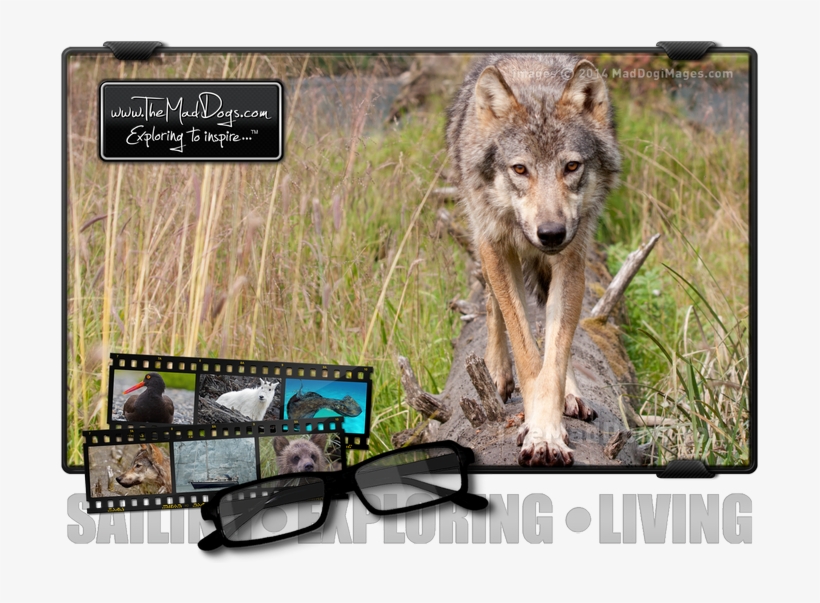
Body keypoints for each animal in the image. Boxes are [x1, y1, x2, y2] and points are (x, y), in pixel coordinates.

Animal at [446, 54, 620, 466]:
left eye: (571, 167)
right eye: (520, 169)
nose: (551, 233)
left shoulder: (572, 258)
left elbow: (554, 356)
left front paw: (548, 432)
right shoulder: (496, 246)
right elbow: (525, 350)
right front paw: (536, 429)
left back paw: (571, 393)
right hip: (484, 241)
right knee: (492, 305)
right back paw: (495, 372)